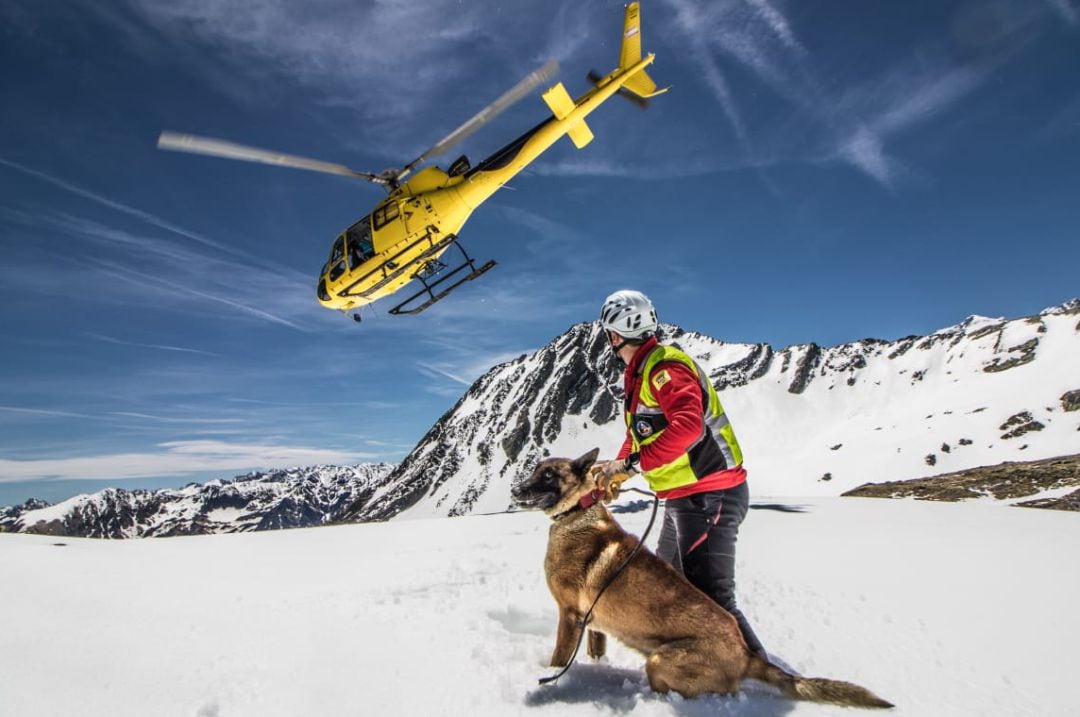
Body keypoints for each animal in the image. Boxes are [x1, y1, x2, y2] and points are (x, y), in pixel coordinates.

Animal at [509, 444, 889, 708]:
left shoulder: (570, 615)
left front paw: (547, 677)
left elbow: (559, 658)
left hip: (661, 660)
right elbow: (595, 653)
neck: (578, 511)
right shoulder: (593, 625)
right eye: (534, 470)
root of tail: (745, 656)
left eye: (548, 475)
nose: (515, 490)